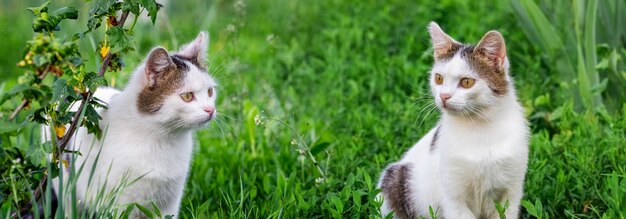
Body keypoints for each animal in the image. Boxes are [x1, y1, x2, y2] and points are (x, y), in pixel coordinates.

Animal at [43, 31, 214, 217]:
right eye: (187, 96)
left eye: (210, 92)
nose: (210, 109)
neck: (162, 138)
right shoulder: (120, 203)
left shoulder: (170, 202)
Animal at [376, 22, 528, 219]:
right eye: (439, 78)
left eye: (467, 82)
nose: (444, 96)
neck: (479, 127)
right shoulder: (453, 197)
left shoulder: (511, 191)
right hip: (393, 180)